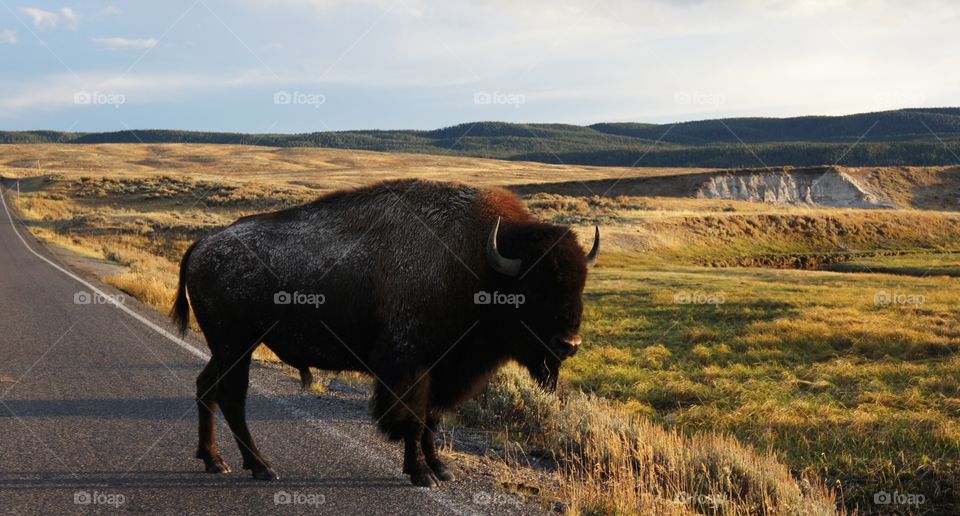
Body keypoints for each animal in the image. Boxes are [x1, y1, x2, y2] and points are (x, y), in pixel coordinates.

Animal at [170, 179, 598, 486]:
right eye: (534, 286)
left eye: (581, 284)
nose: (569, 344)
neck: (477, 266)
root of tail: (203, 244)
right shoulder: (410, 368)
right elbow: (412, 418)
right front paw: (421, 474)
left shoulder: (443, 371)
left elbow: (431, 420)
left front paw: (441, 469)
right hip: (236, 345)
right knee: (232, 397)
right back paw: (260, 467)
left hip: (226, 348)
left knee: (207, 387)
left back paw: (214, 460)